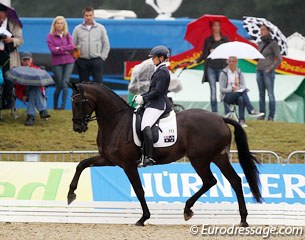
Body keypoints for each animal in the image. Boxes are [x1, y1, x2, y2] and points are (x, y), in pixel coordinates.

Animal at [67, 82, 260, 227]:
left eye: (78, 103)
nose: (77, 128)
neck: (117, 122)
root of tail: (220, 118)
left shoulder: (128, 164)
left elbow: (139, 190)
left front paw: (143, 218)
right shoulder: (109, 160)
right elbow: (82, 164)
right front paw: (70, 195)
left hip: (200, 159)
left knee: (210, 181)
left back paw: (188, 210)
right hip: (218, 157)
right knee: (235, 181)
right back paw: (243, 219)